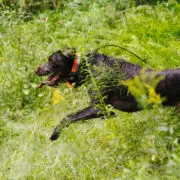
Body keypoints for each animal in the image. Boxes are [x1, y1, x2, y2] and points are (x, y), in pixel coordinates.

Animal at [35, 49, 180, 141]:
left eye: (50, 60)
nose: (35, 70)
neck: (86, 67)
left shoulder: (98, 107)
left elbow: (68, 117)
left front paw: (55, 133)